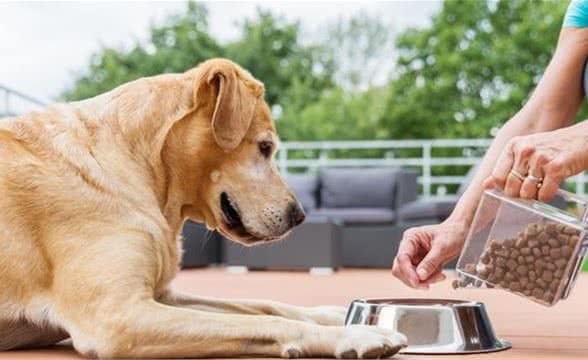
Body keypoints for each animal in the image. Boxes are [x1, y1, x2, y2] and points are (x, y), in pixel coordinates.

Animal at [0, 58, 404, 358]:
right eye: (264, 147)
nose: (299, 216)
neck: (141, 166)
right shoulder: (117, 317)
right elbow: (258, 322)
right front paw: (355, 336)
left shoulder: (162, 296)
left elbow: (263, 304)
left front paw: (337, 316)